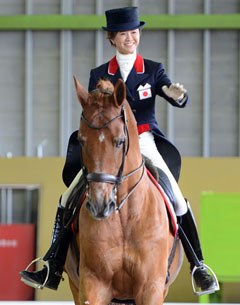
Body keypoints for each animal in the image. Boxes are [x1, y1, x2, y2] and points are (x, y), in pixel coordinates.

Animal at [64, 78, 183, 304]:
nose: (100, 205)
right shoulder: (94, 284)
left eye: (120, 141)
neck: (124, 216)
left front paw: (175, 93)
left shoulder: (151, 288)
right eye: (81, 141)